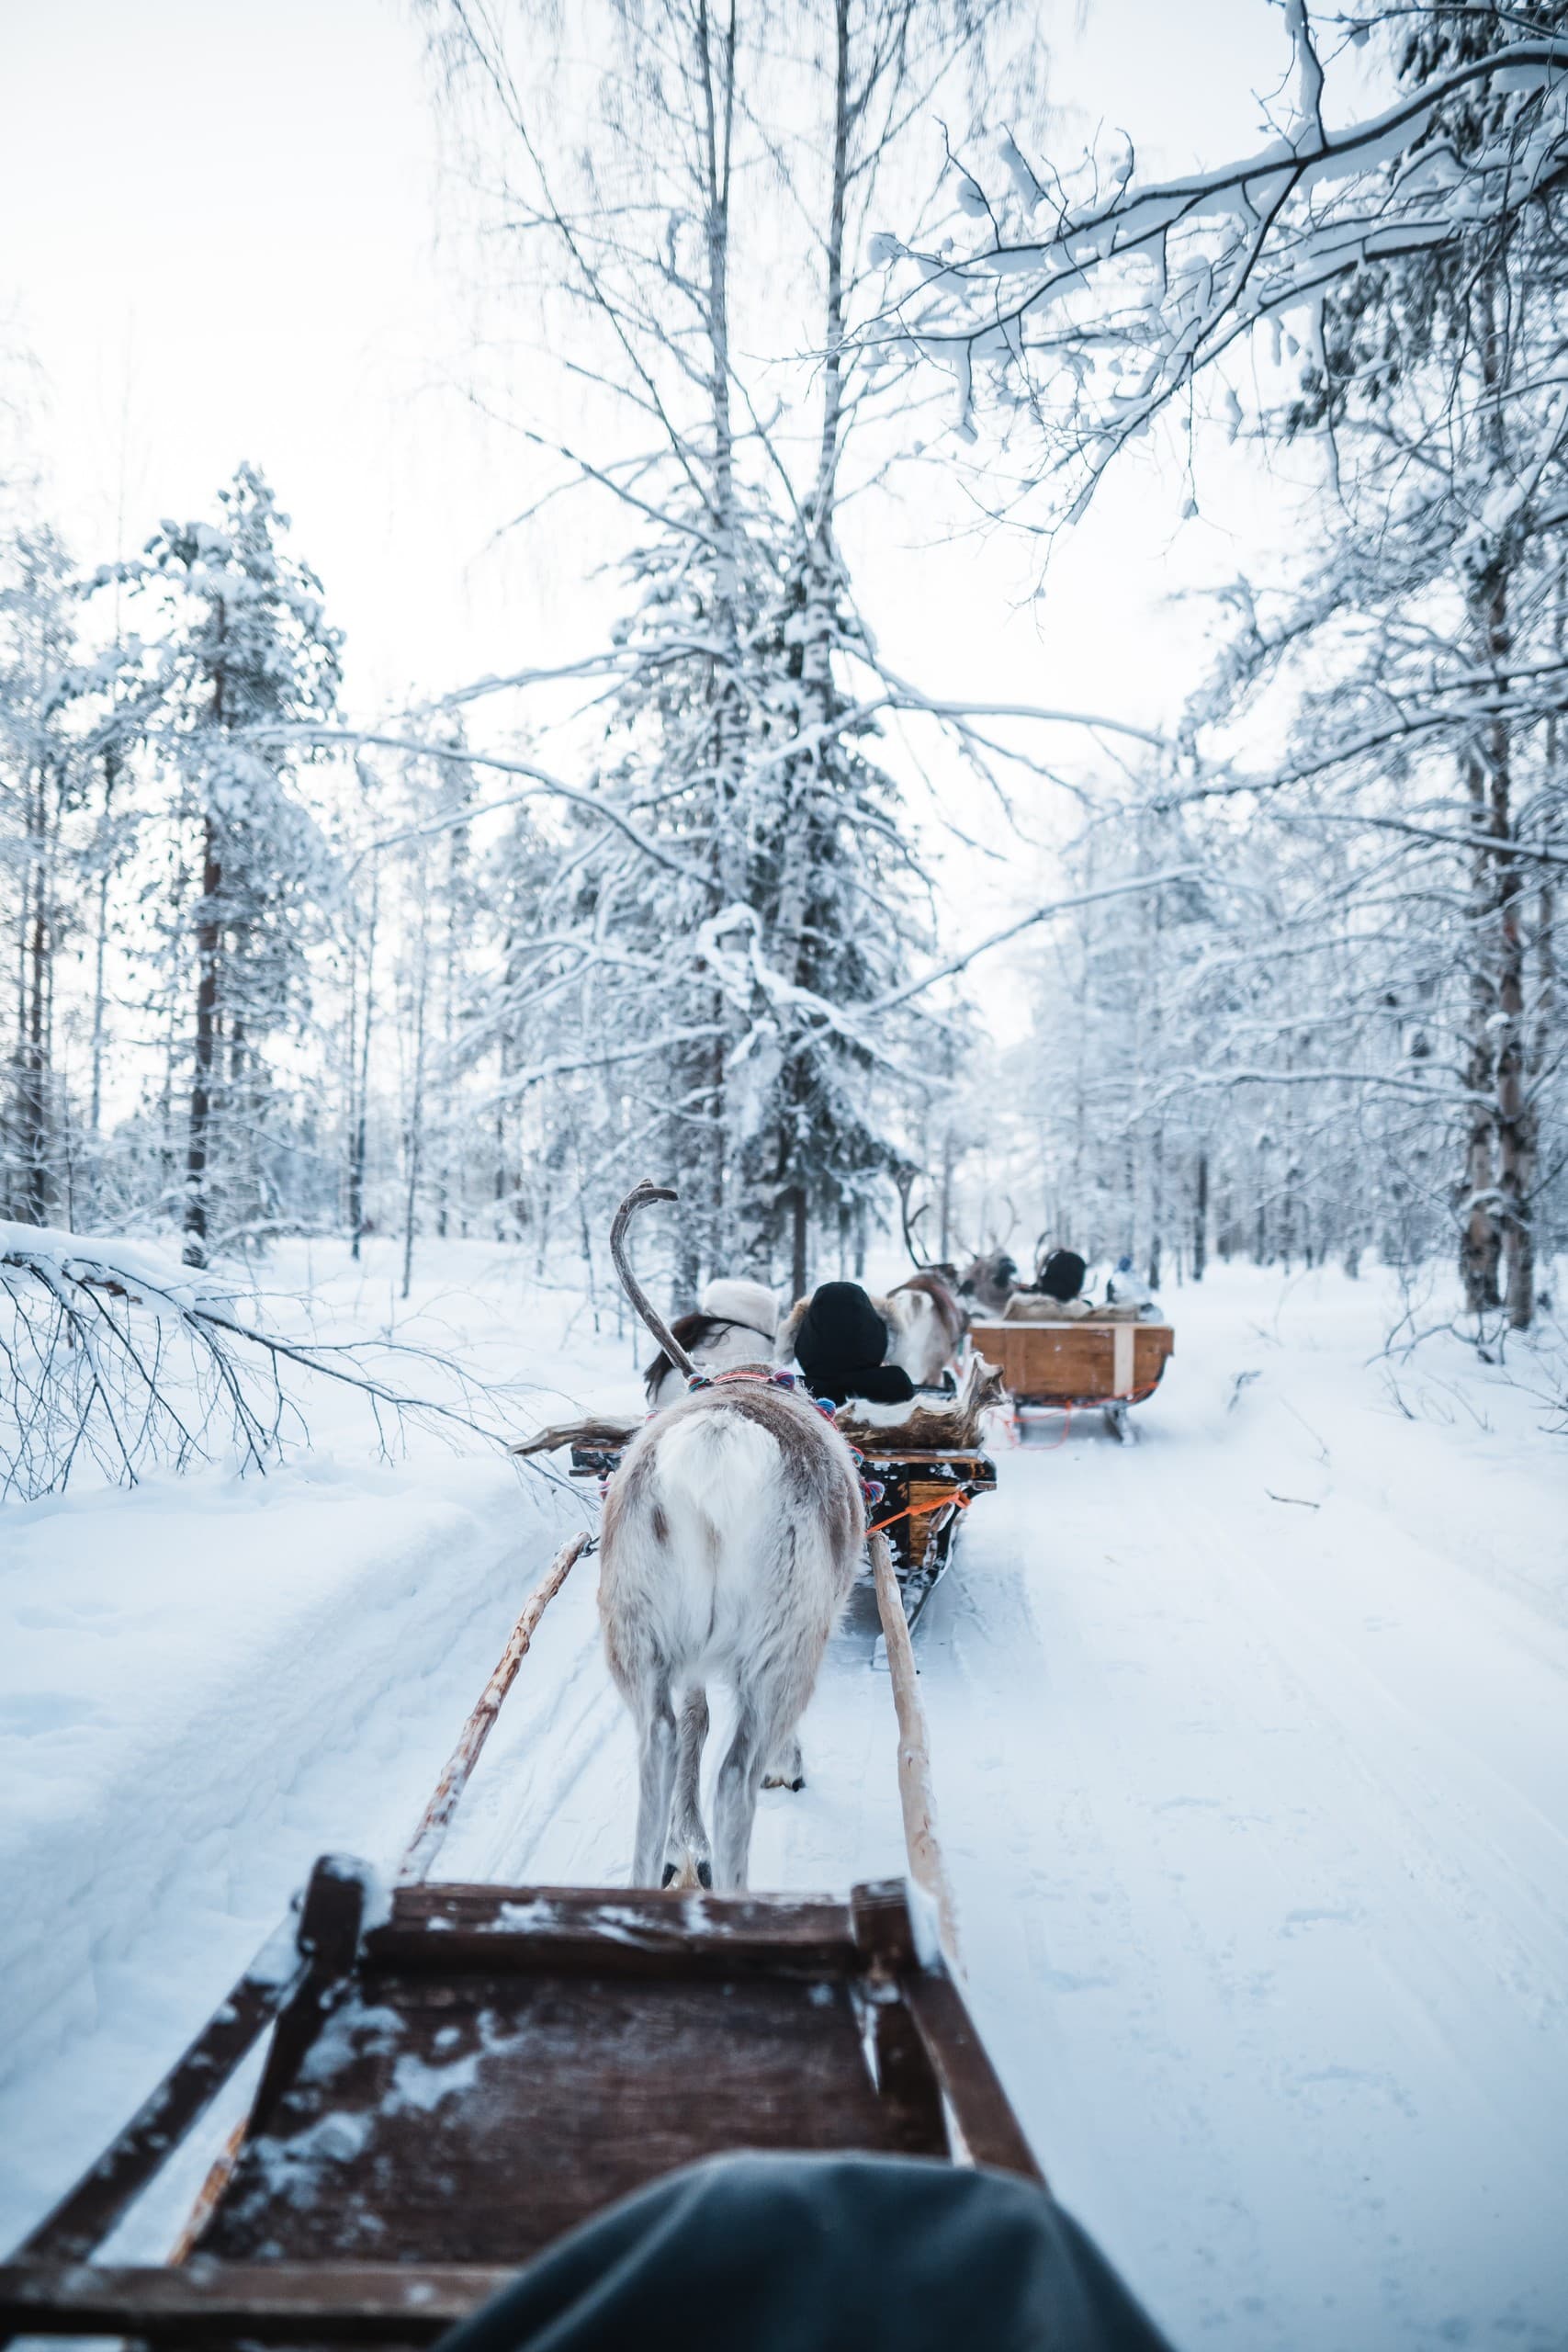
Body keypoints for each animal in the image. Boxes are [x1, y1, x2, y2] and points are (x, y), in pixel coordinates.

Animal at [598, 1182, 863, 1893]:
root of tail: (717, 1439)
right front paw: (789, 1768)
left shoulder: (687, 1659)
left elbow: (695, 1718)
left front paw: (686, 1846)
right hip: (780, 1648)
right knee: (737, 1775)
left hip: (636, 1635)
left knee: (658, 1746)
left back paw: (665, 1867)